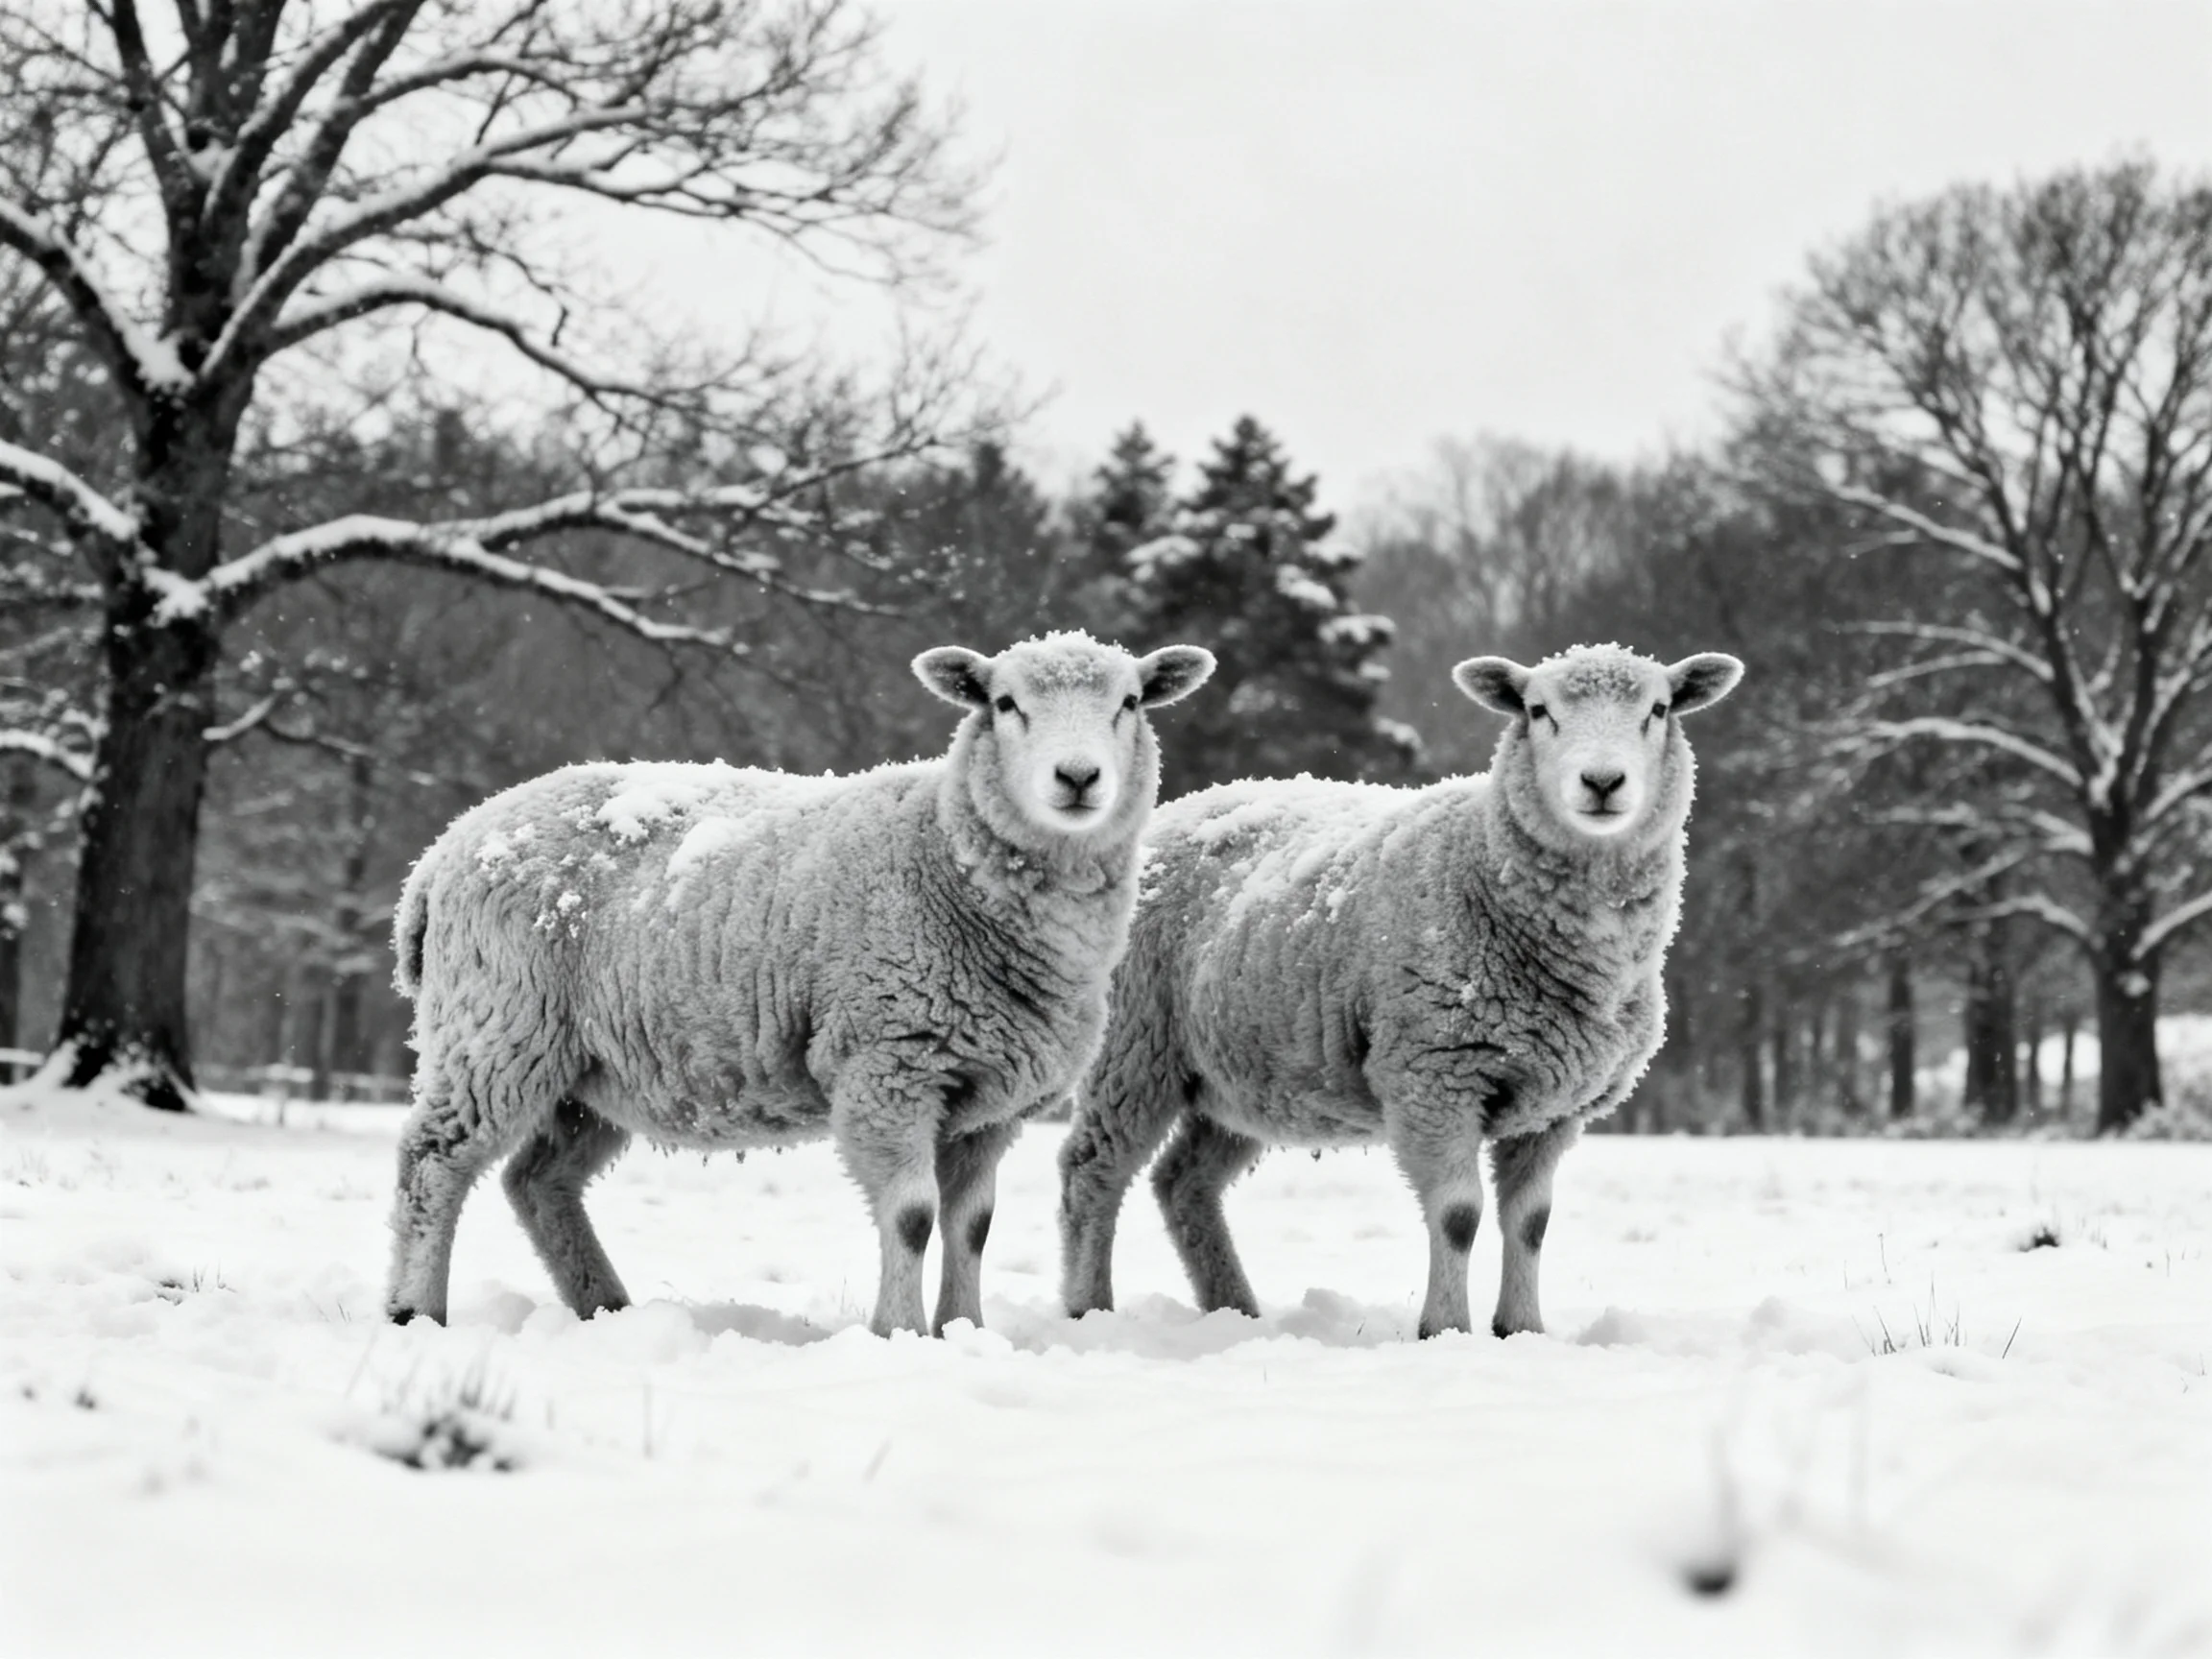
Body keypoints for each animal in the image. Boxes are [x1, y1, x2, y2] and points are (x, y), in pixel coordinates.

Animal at [385, 631, 1215, 1335]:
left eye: (1131, 702)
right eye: (1005, 703)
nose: (1077, 777)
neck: (948, 853)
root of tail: (439, 854)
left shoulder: (989, 1098)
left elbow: (972, 1226)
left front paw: (966, 1331)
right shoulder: (889, 1066)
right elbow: (913, 1216)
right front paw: (901, 1333)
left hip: (593, 1069)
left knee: (538, 1181)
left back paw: (604, 1307)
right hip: (499, 1024)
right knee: (433, 1160)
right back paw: (414, 1310)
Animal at [1059, 642, 1743, 1339]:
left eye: (1658, 709)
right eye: (1537, 710)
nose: (1602, 783)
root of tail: (1182, 807)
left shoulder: (1552, 1108)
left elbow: (1530, 1223)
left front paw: (1521, 1328)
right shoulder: (1431, 1077)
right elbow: (1458, 1215)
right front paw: (1444, 1329)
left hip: (1238, 1075)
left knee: (1183, 1183)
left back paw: (1235, 1308)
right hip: (1134, 1048)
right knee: (1092, 1170)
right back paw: (1089, 1306)